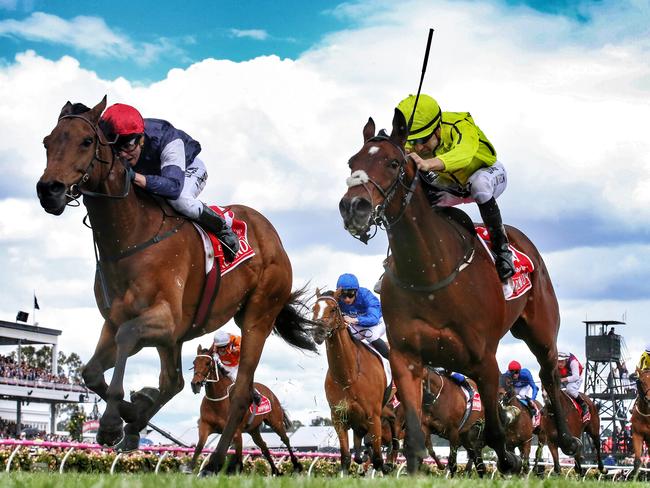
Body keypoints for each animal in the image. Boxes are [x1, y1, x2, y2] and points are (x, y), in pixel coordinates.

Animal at [185, 346, 302, 474]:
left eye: (207, 363)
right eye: (194, 362)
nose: (195, 384)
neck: (217, 401)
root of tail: (270, 393)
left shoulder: (235, 431)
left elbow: (237, 453)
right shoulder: (205, 426)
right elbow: (199, 447)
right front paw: (189, 469)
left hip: (276, 422)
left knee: (285, 439)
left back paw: (296, 465)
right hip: (253, 430)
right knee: (264, 446)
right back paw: (276, 471)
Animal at [310, 290, 394, 472]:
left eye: (333, 309)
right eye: (314, 308)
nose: (318, 332)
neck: (348, 375)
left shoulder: (373, 417)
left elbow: (378, 459)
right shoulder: (339, 417)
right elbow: (346, 458)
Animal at [336, 109, 576, 472]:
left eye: (393, 162)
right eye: (352, 161)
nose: (354, 207)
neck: (429, 274)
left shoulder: (485, 361)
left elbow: (494, 432)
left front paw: (508, 460)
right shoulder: (406, 358)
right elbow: (414, 436)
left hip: (541, 332)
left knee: (549, 374)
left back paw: (566, 438)